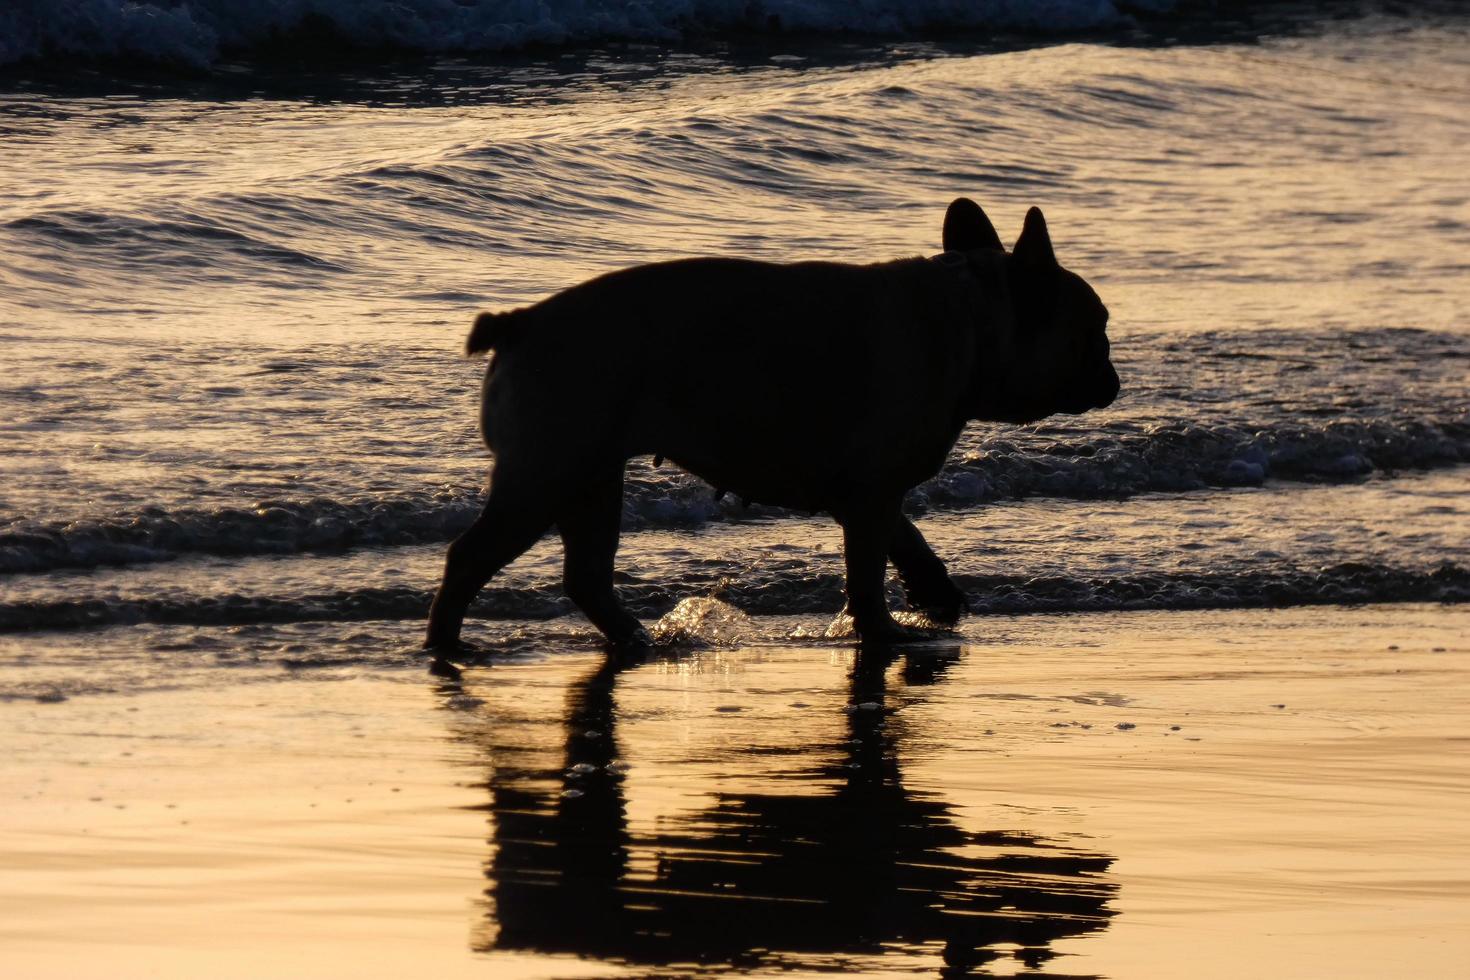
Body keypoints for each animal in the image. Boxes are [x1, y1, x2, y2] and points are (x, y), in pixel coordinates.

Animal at [426, 195, 1111, 646]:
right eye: (1096, 328)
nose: (1112, 373)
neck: (973, 319)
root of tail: (520, 323)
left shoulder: (867, 493)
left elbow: (907, 539)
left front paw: (933, 592)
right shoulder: (872, 496)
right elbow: (868, 573)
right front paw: (884, 631)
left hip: (590, 480)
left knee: (586, 577)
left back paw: (638, 644)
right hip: (546, 475)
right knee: (470, 559)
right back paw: (446, 647)